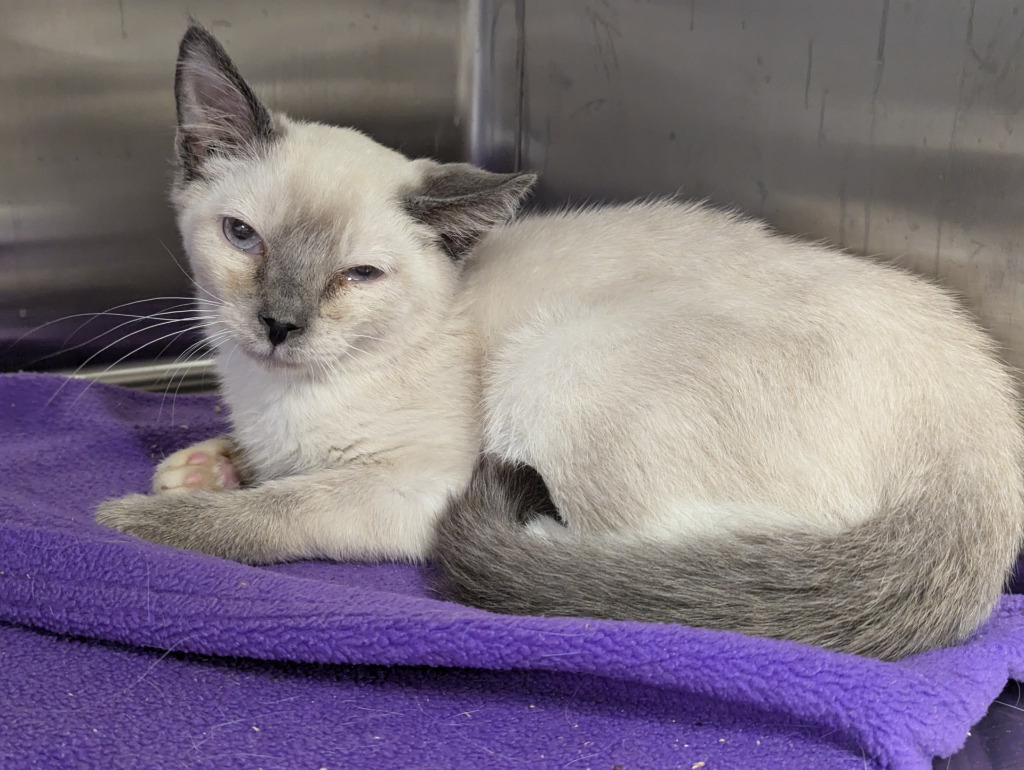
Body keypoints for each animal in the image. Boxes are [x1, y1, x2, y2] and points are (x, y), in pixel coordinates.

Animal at [97, 25, 1024, 663]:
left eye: (359, 276)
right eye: (242, 237)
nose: (279, 325)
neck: (282, 395)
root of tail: (981, 437)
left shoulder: (413, 486)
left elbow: (280, 508)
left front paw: (144, 517)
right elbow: (262, 469)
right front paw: (200, 468)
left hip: (559, 363)